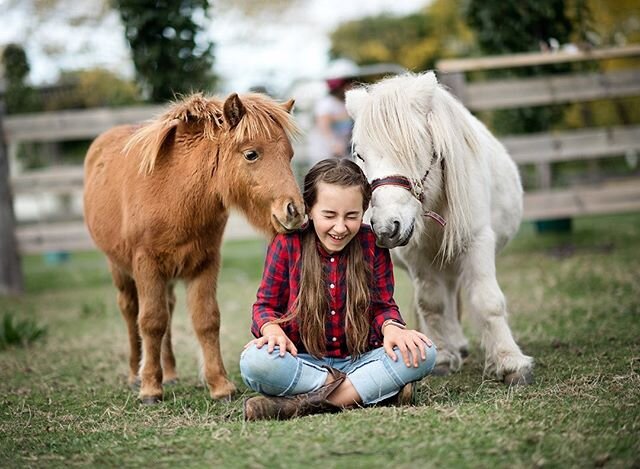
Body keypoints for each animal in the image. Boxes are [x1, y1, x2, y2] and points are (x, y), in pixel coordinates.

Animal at [84, 91, 306, 402]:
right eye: (251, 154)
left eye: (289, 155)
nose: (295, 212)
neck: (174, 192)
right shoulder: (146, 264)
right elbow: (151, 321)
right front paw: (150, 388)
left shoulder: (205, 263)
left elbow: (206, 320)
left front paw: (220, 385)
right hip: (120, 269)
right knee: (130, 312)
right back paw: (134, 375)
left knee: (168, 309)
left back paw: (170, 374)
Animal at [344, 70, 536, 384]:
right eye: (360, 155)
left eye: (415, 149)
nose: (385, 227)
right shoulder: (417, 255)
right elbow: (431, 304)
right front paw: (443, 357)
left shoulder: (476, 241)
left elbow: (488, 301)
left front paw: (510, 363)